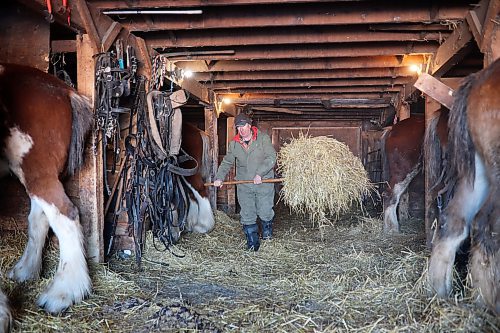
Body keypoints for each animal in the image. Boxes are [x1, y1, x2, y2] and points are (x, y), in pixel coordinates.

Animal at [0, 61, 93, 326]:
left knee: (65, 215)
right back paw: (25, 271)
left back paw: (63, 292)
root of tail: (65, 91)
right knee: (40, 218)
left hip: (37, 168)